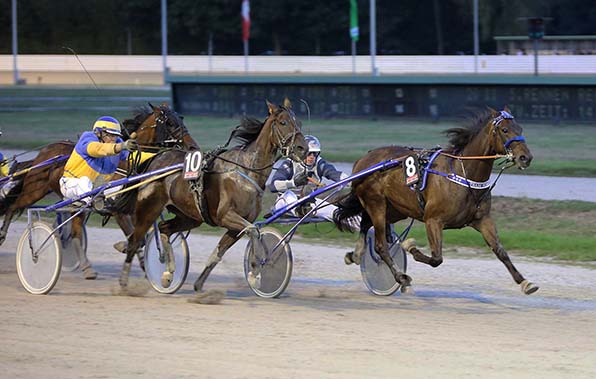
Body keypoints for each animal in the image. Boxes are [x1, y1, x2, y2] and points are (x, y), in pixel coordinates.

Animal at [119, 98, 310, 290]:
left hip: (189, 216)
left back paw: (168, 273)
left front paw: (199, 283)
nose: (303, 149)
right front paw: (255, 272)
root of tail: (156, 159)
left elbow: (219, 252)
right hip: (148, 208)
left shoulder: (236, 226)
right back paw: (124, 281)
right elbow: (254, 231)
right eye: (283, 122)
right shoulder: (226, 216)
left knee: (164, 228)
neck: (246, 170)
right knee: (135, 241)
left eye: (299, 123)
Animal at [332, 108, 536, 296]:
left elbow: (500, 250)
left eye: (520, 128)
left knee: (366, 223)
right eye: (504, 129)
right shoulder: (433, 220)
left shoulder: (482, 219)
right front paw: (410, 246)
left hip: (396, 209)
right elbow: (437, 258)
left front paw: (525, 282)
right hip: (377, 203)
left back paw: (355, 255)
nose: (525, 157)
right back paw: (401, 277)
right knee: (380, 245)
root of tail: (363, 160)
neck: (463, 174)